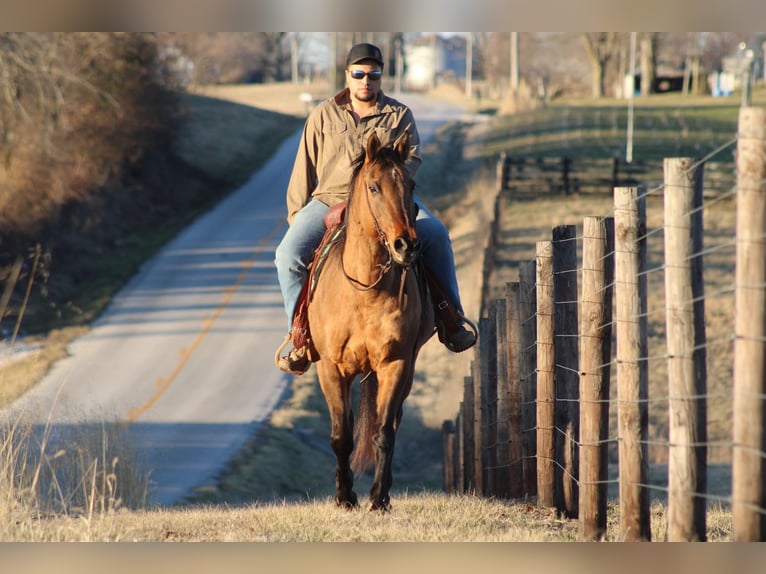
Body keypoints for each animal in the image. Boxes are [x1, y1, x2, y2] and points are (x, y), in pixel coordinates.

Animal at [308, 132, 438, 512]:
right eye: (374, 187)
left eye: (411, 184)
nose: (406, 245)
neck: (365, 291)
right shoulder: (331, 368)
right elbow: (341, 436)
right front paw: (344, 497)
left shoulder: (395, 364)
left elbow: (383, 432)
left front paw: (378, 497)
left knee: (392, 422)